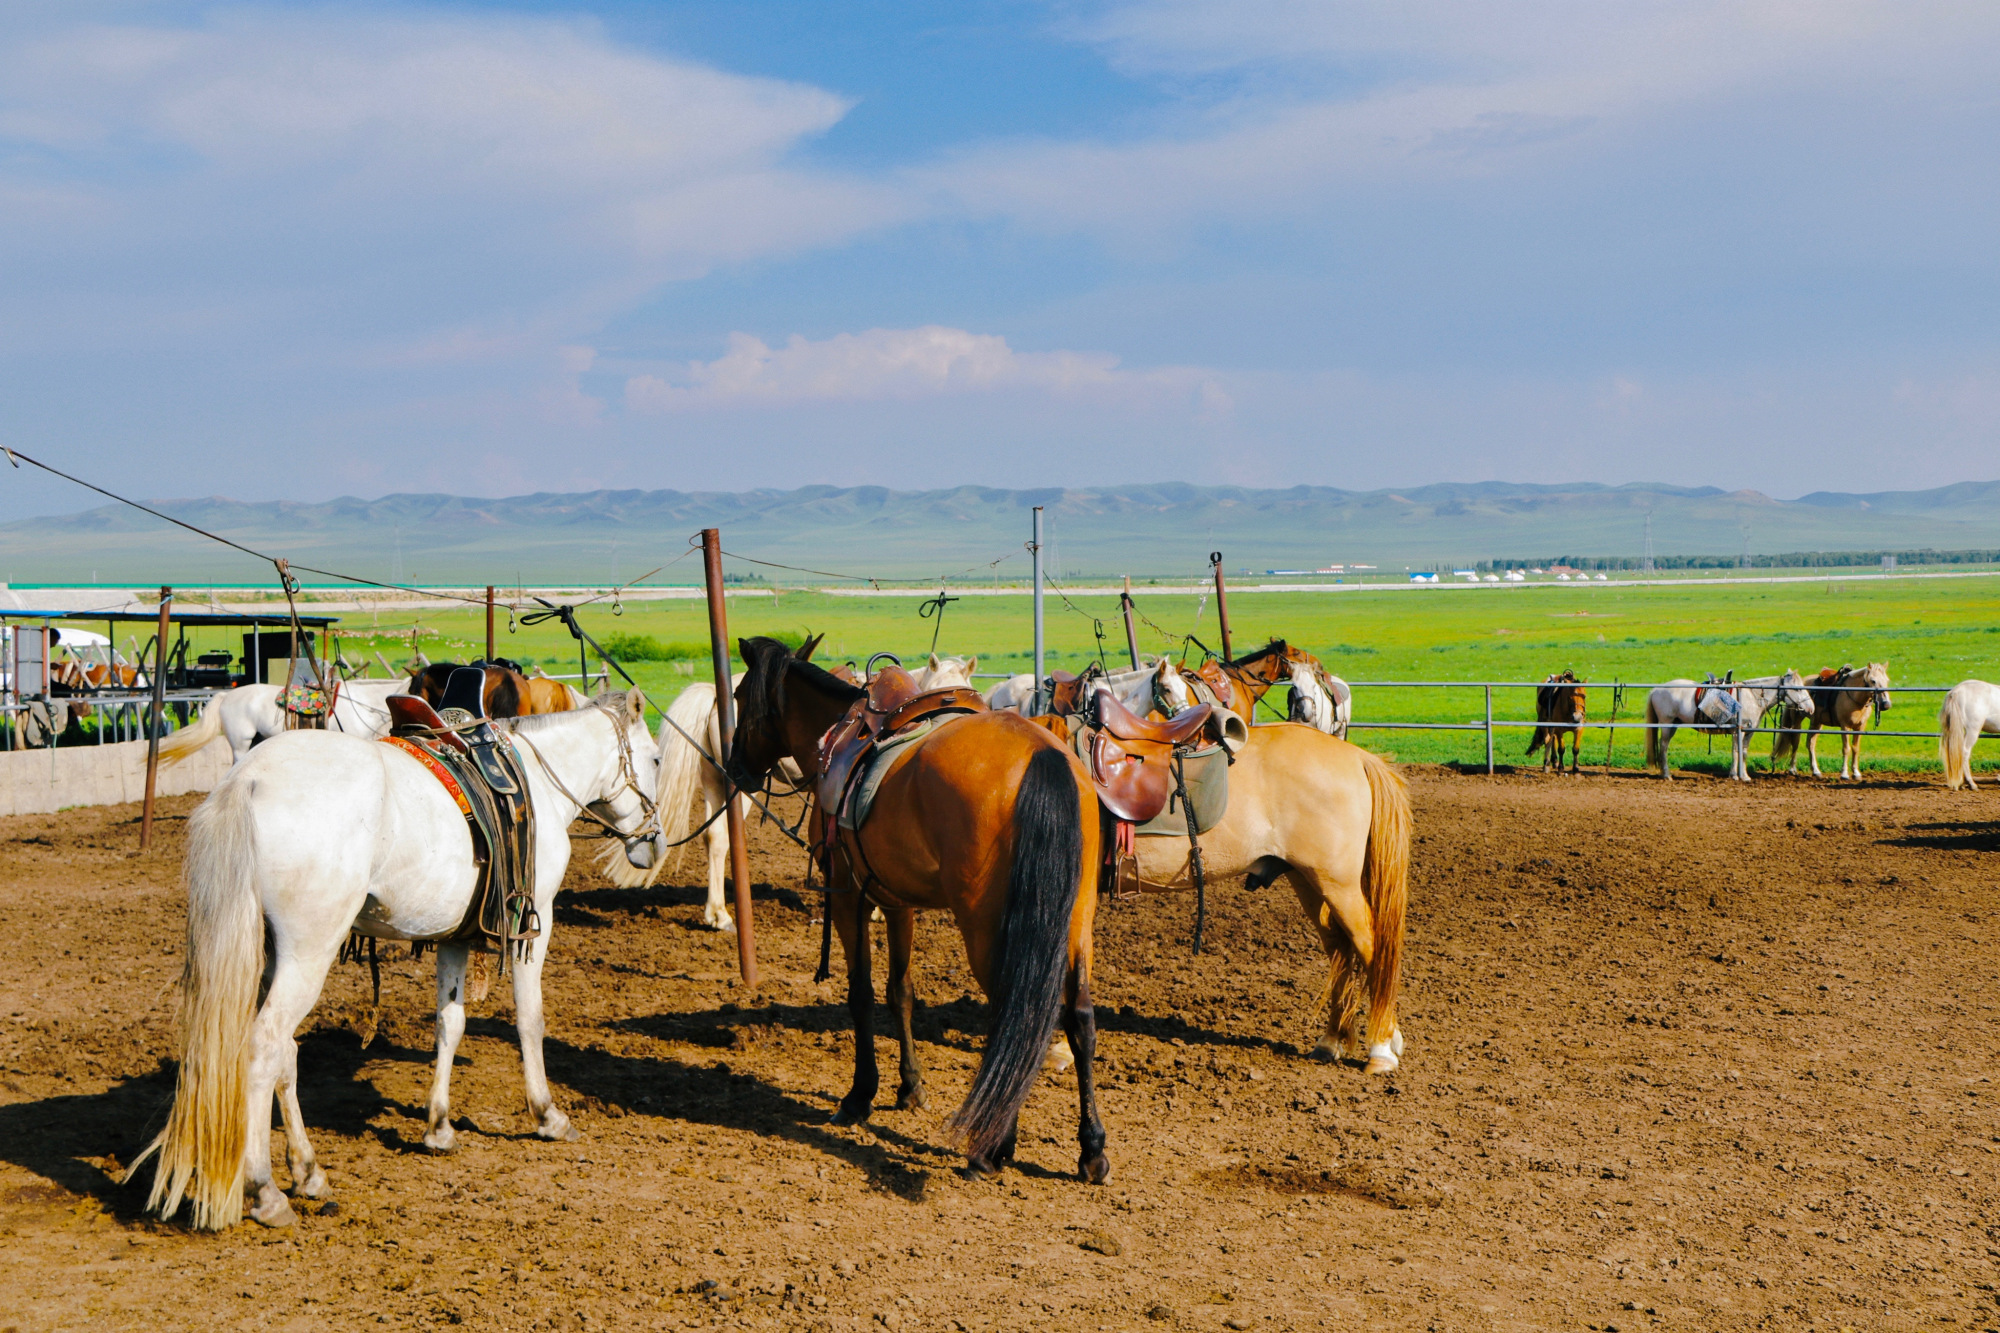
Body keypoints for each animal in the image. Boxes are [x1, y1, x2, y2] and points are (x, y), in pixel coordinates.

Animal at [125, 688, 664, 1232]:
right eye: (657, 758)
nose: (655, 844)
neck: (533, 779)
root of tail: (249, 779)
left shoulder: (456, 935)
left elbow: (450, 1022)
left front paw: (439, 1126)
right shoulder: (534, 919)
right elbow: (530, 1019)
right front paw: (547, 1115)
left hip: (271, 953)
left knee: (285, 1053)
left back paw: (308, 1172)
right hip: (308, 953)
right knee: (265, 1046)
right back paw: (266, 1191)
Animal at [732, 640, 1120, 1176]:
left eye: (737, 696)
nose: (734, 766)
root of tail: (1041, 755)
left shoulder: (849, 894)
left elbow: (861, 993)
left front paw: (860, 1095)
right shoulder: (898, 902)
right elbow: (901, 992)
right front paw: (910, 1087)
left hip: (987, 927)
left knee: (1015, 1015)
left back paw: (992, 1147)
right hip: (1076, 919)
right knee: (1078, 1017)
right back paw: (1092, 1149)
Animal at [1640, 664, 1816, 780]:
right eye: (1798, 688)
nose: (1811, 708)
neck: (1751, 696)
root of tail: (1656, 689)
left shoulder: (1747, 732)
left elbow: (1742, 752)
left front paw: (1742, 776)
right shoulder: (1739, 731)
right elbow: (1737, 752)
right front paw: (1736, 775)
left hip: (1674, 724)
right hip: (1667, 724)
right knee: (1663, 747)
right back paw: (1666, 775)